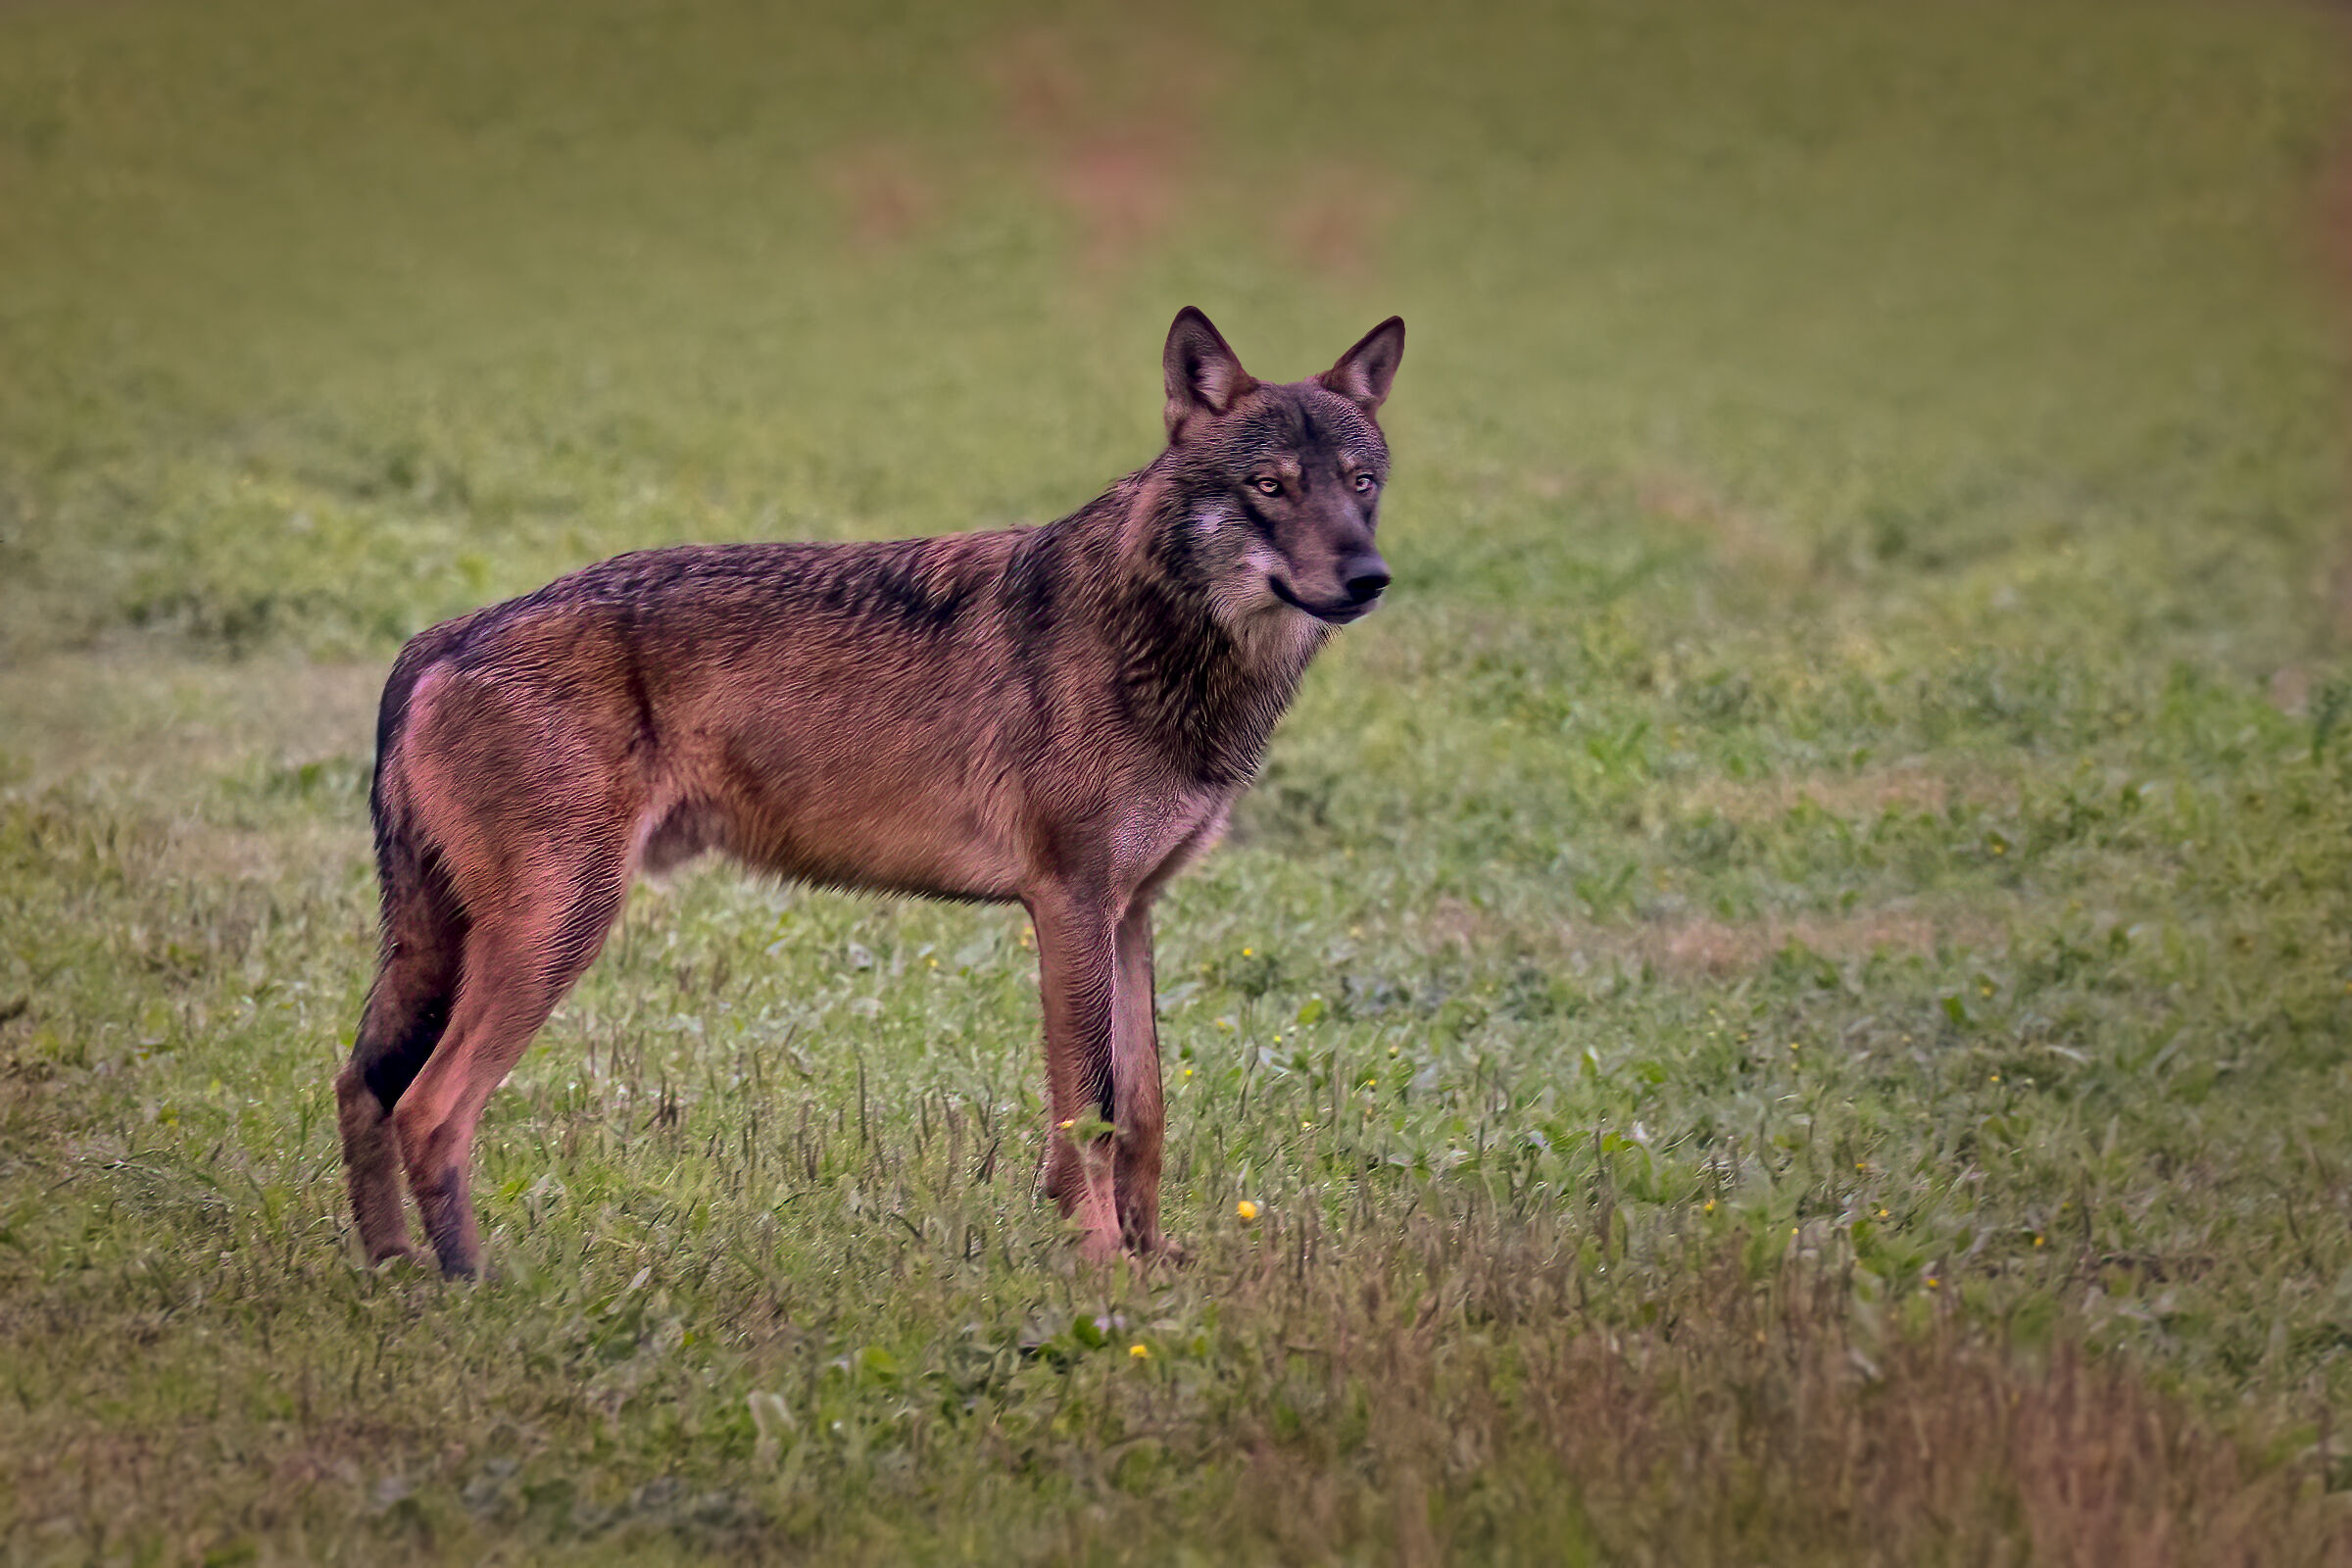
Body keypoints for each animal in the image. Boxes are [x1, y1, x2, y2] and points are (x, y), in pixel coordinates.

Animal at [335, 307, 1404, 1274]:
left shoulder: (1132, 911)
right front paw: (1100, 1264)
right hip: (560, 927)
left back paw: (391, 1270)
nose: (1371, 578)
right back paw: (470, 1286)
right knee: (430, 1109)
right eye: (1270, 487)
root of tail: (442, 637)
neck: (1161, 637)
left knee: (359, 1087)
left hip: (447, 950)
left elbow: (1143, 1108)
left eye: (1361, 486)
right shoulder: (1069, 906)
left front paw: (1152, 1260)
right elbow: (1088, 1112)